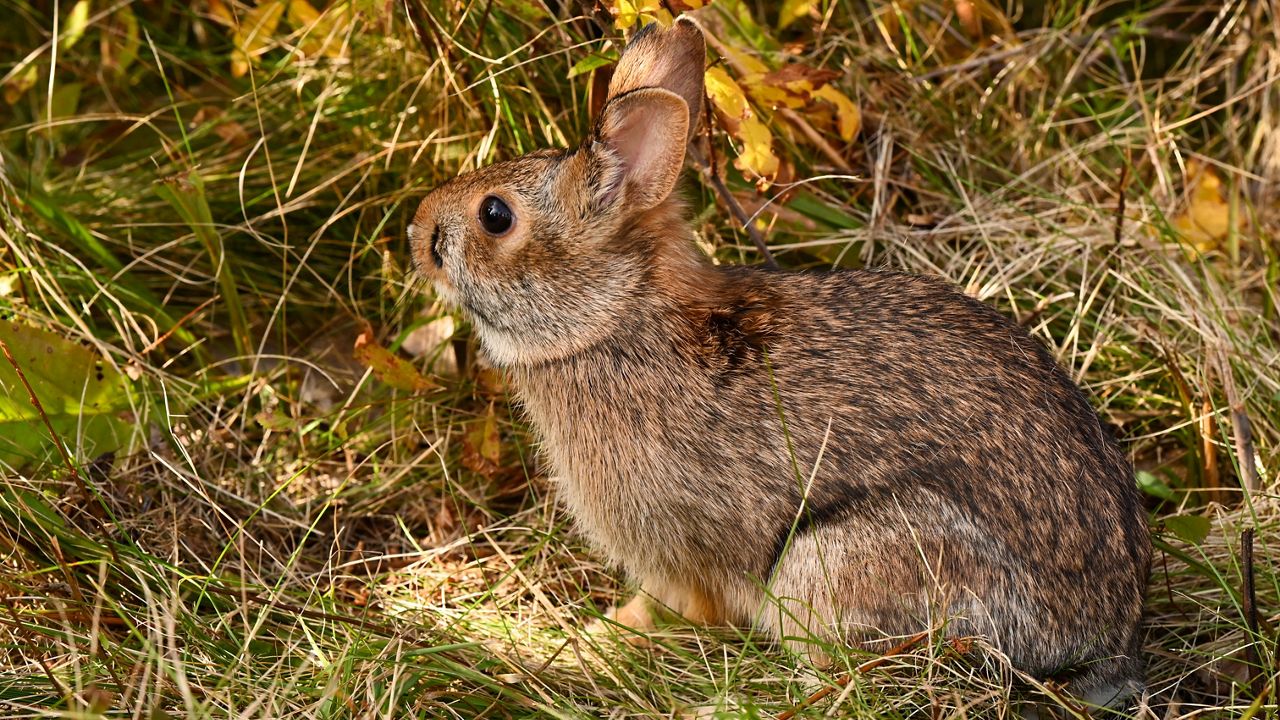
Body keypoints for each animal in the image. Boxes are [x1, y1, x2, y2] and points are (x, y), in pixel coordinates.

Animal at [409, 18, 1152, 707]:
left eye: (496, 216)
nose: (417, 231)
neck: (611, 318)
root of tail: (1106, 638)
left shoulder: (675, 554)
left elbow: (668, 610)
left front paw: (592, 642)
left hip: (830, 566)